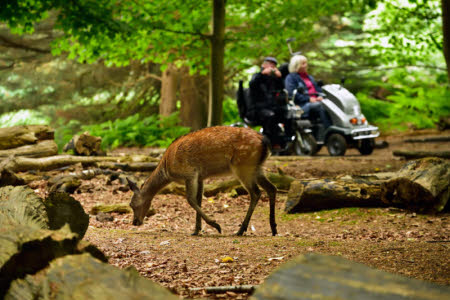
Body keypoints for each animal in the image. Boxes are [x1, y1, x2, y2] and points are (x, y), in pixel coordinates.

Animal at [125, 125, 276, 236]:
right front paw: (196, 230)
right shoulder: (201, 177)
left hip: (243, 166)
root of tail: (265, 142)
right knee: (271, 188)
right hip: (256, 167)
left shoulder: (189, 173)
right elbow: (199, 200)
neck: (167, 169)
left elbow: (190, 200)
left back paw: (240, 230)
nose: (135, 222)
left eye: (132, 204)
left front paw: (215, 225)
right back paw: (273, 228)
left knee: (256, 192)